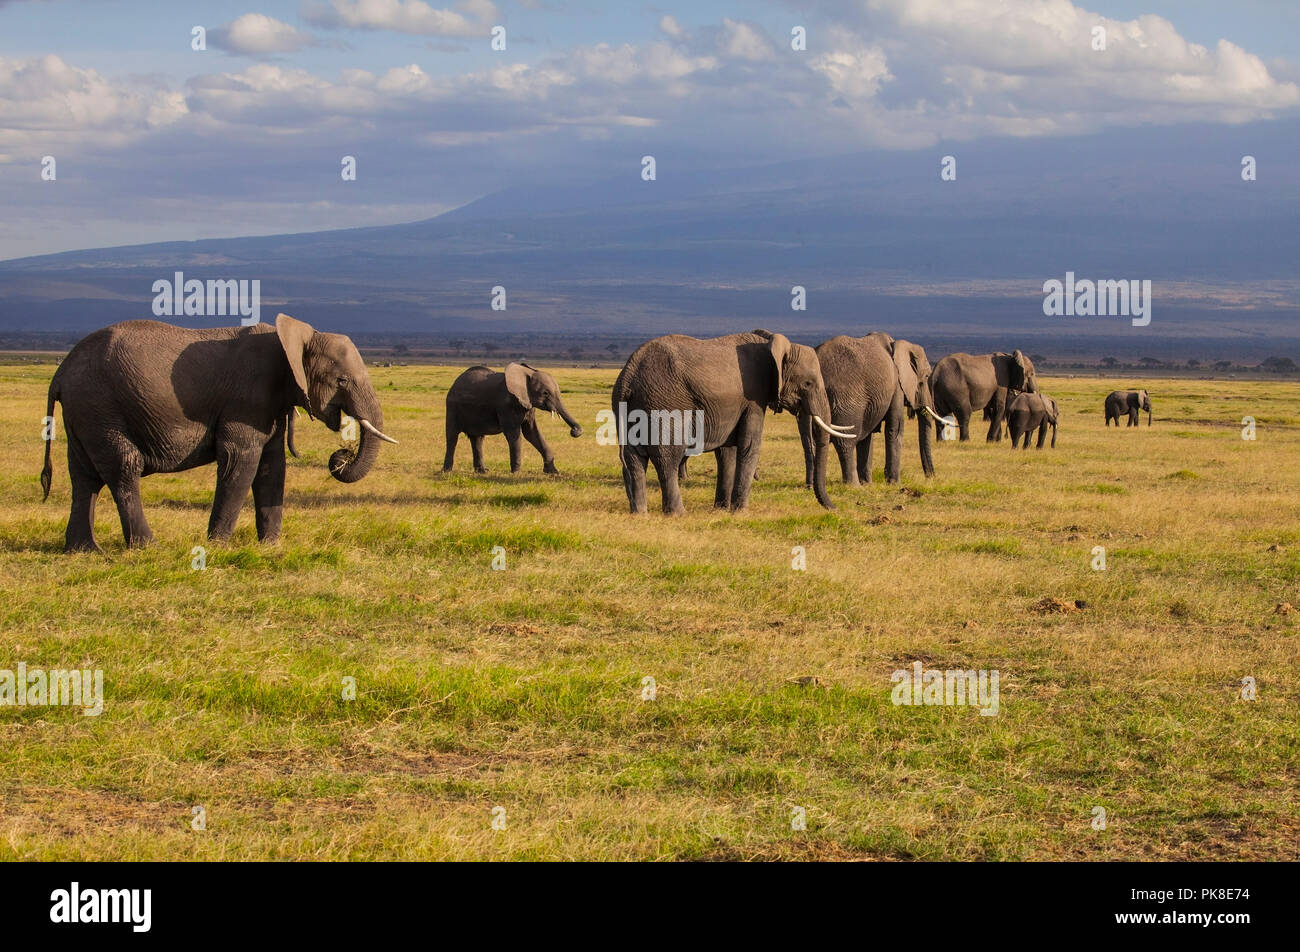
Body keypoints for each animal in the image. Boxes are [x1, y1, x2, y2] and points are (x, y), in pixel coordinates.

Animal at [40, 312, 395, 551]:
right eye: (342, 380)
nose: (342, 454)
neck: (295, 336)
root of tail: (60, 372)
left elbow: (272, 467)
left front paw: (270, 547)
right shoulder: (247, 396)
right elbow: (241, 461)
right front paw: (218, 545)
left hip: (85, 413)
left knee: (84, 477)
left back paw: (84, 550)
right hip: (100, 405)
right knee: (124, 468)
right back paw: (147, 547)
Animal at [444, 361, 582, 473]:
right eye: (545, 393)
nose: (574, 431)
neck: (525, 373)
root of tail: (455, 382)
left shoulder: (528, 404)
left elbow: (531, 433)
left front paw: (553, 472)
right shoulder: (506, 405)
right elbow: (514, 434)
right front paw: (516, 472)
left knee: (477, 439)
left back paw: (482, 471)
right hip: (452, 407)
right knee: (452, 437)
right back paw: (447, 471)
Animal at [608, 330, 852, 517]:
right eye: (808, 383)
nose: (834, 509)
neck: (771, 343)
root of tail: (628, 376)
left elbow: (727, 452)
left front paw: (721, 509)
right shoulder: (754, 397)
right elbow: (750, 445)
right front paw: (740, 512)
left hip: (631, 408)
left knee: (634, 459)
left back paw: (639, 513)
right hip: (665, 403)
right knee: (667, 458)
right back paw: (677, 514)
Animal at [795, 332, 941, 483]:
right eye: (926, 377)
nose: (931, 477)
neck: (899, 345)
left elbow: (868, 435)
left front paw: (867, 483)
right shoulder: (897, 386)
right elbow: (895, 428)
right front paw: (894, 483)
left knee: (810, 442)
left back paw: (811, 485)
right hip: (846, 400)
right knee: (846, 441)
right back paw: (853, 485)